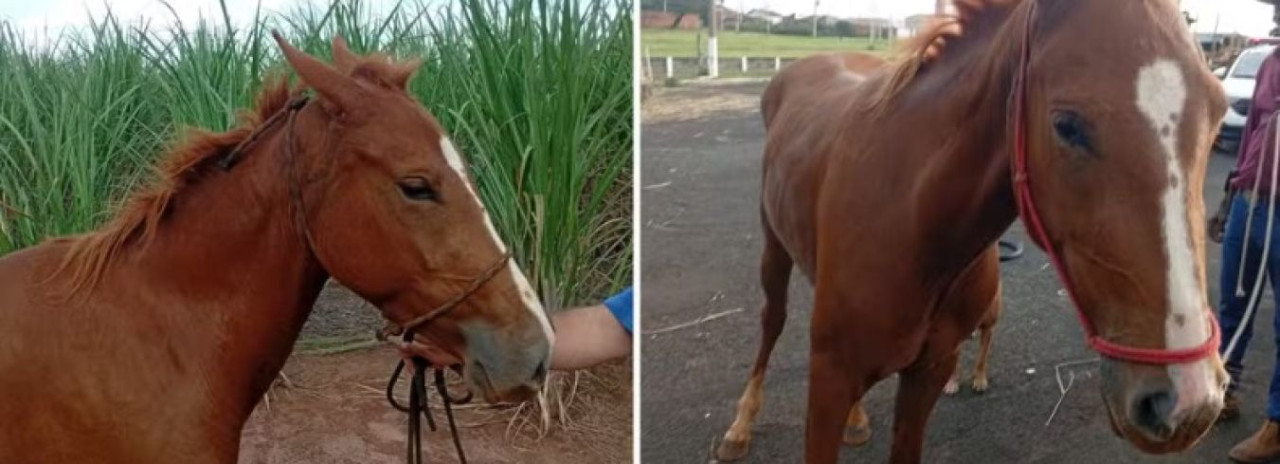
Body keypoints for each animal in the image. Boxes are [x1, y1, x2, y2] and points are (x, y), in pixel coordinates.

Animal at [714, 0, 1228, 462]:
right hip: (773, 249)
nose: (1190, 403)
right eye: (1066, 124)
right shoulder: (829, 381)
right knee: (772, 322)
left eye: (1219, 110)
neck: (913, 225)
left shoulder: (929, 371)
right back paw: (740, 426)